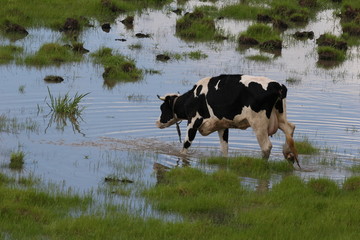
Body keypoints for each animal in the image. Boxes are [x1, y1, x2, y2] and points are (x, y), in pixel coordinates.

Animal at [156, 74, 300, 166]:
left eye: (162, 108)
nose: (157, 122)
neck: (191, 98)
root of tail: (278, 86)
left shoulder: (193, 122)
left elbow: (186, 145)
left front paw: (182, 157)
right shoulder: (222, 126)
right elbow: (224, 148)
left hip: (258, 123)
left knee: (266, 146)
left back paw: (263, 164)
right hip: (280, 117)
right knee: (290, 128)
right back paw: (289, 155)